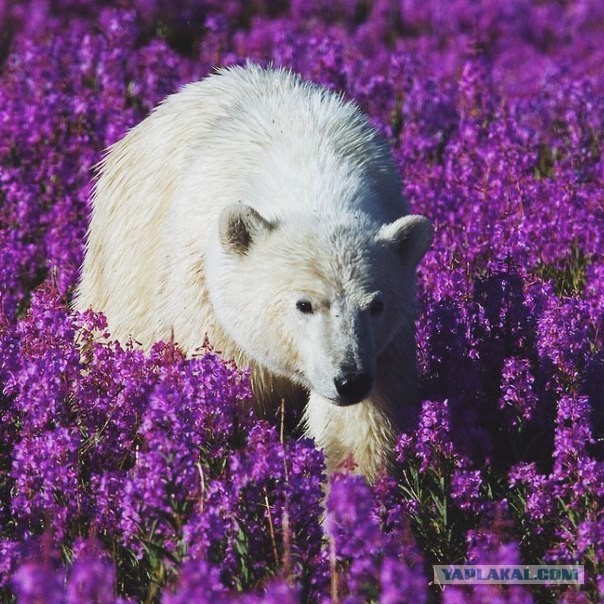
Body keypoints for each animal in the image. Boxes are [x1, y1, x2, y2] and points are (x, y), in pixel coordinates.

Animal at [74, 65, 434, 482]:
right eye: (304, 304)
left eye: (375, 305)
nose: (349, 380)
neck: (308, 170)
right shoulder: (210, 305)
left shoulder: (385, 344)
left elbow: (358, 426)